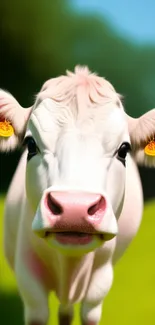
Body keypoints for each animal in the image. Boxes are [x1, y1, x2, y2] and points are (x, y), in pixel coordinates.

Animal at [0, 66, 155, 324]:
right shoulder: (28, 276)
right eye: (31, 144)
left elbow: (89, 313)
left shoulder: (101, 277)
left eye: (124, 150)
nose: (74, 208)